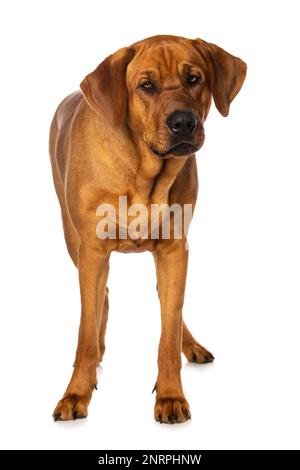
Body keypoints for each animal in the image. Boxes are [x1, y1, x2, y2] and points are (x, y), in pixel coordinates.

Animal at [49, 35, 246, 424]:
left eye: (194, 79)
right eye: (146, 86)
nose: (183, 123)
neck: (143, 169)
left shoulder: (174, 249)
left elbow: (168, 331)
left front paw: (170, 396)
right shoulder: (92, 250)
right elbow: (85, 329)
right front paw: (76, 392)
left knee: (168, 305)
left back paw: (190, 344)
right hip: (71, 238)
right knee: (100, 300)